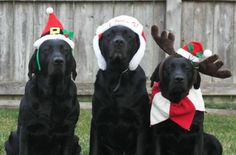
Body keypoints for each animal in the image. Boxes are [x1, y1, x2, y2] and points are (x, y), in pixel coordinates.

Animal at [148, 24, 231, 154]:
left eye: (187, 68)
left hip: (213, 140)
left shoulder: (197, 133)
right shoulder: (157, 133)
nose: (179, 79)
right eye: (169, 68)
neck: (177, 102)